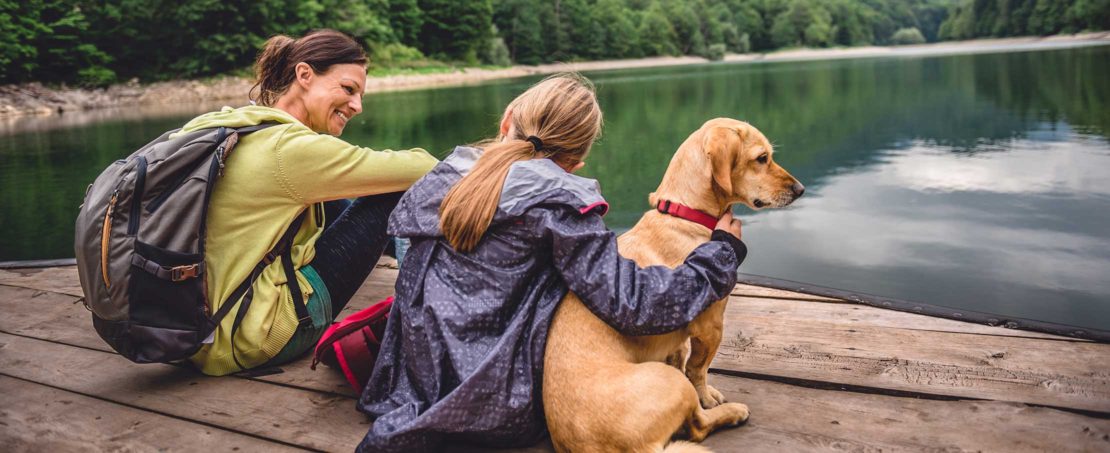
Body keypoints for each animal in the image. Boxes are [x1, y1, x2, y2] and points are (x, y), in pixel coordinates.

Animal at [541, 118, 803, 450]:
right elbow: (698, 369)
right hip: (671, 382)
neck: (685, 215)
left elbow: (682, 357)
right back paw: (733, 413)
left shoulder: (679, 338)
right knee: (698, 427)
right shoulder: (711, 326)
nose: (800, 189)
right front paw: (708, 396)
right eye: (761, 158)